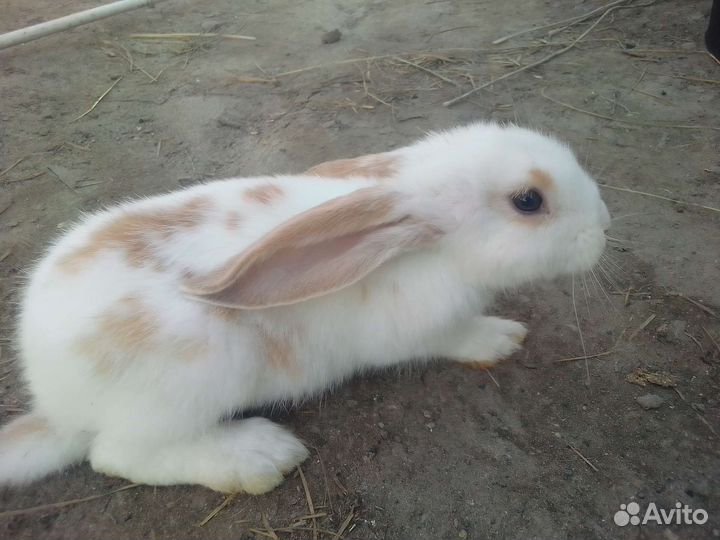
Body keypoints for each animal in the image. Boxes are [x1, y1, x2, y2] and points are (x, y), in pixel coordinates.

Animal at [0, 123, 610, 494]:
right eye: (528, 201)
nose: (604, 224)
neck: (424, 246)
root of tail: (54, 401)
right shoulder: (422, 330)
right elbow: (456, 337)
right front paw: (502, 338)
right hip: (189, 381)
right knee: (117, 455)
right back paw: (257, 456)